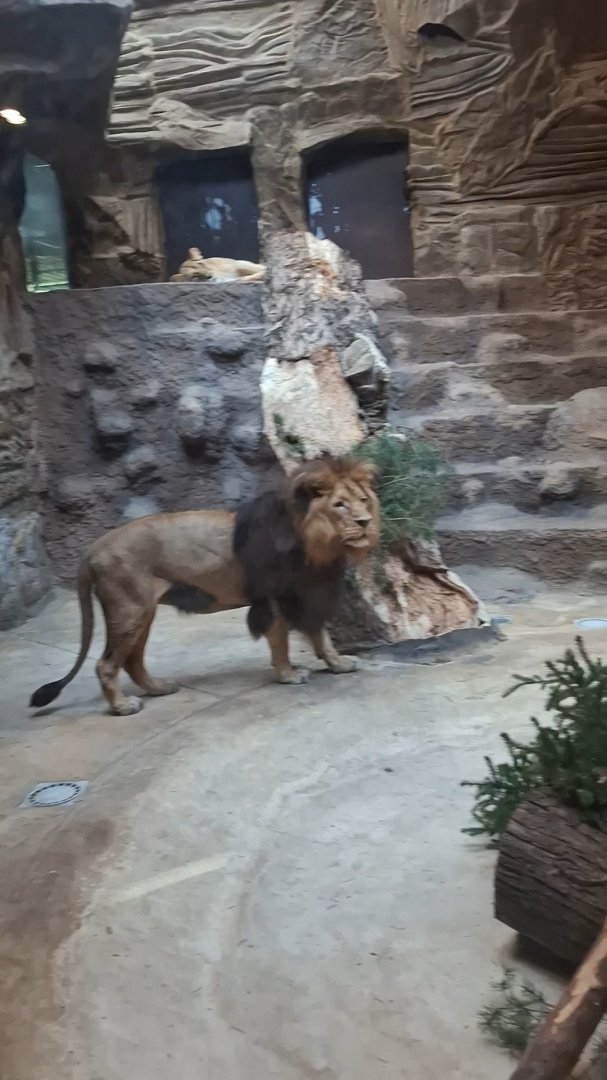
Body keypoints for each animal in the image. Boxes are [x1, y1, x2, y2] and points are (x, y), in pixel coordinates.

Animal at [30, 457, 379, 717]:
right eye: (339, 505)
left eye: (363, 501)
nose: (364, 522)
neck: (316, 543)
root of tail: (93, 549)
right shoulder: (274, 598)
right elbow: (281, 641)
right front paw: (288, 675)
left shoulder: (306, 595)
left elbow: (321, 637)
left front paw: (340, 664)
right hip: (128, 610)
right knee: (106, 664)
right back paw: (122, 707)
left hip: (143, 613)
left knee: (132, 661)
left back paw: (160, 688)